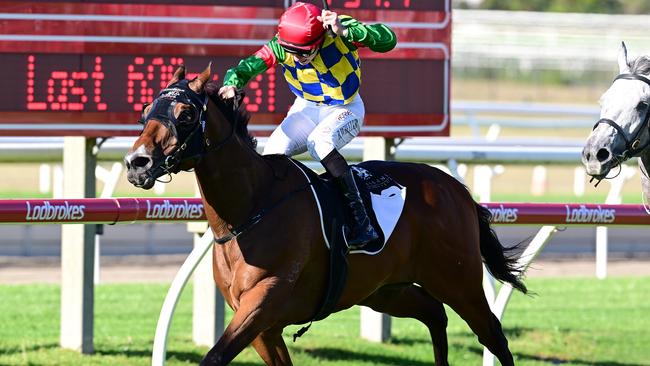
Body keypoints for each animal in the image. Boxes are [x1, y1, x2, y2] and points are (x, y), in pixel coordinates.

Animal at [123, 64, 528, 364]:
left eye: (186, 112)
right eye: (145, 113)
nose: (136, 163)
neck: (251, 210)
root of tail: (457, 190)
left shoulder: (263, 302)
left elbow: (215, 357)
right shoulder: (264, 328)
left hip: (458, 281)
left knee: (492, 334)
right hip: (384, 290)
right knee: (434, 313)